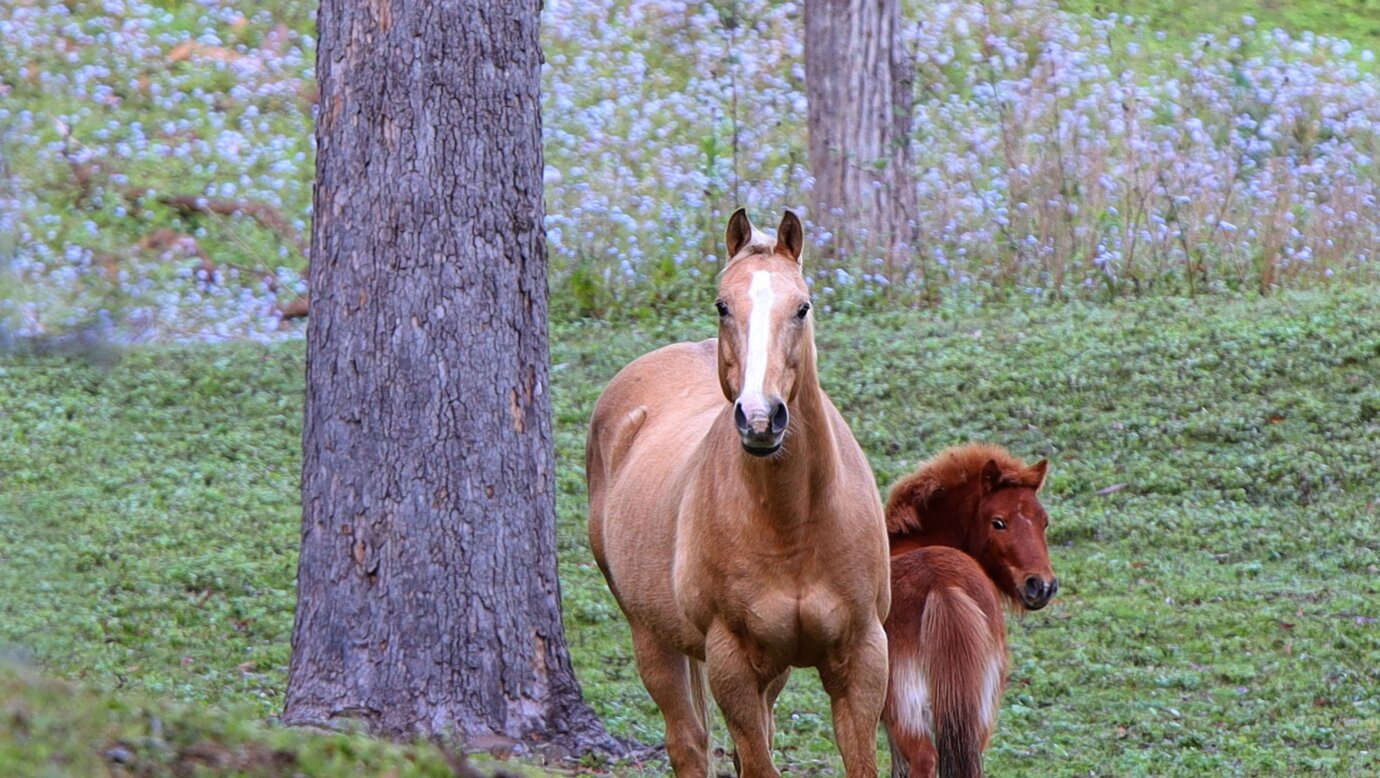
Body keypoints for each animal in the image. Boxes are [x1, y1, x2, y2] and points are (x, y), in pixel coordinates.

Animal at [585, 209, 888, 772]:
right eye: (722, 305)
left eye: (802, 307)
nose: (761, 418)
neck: (794, 524)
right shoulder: (731, 664)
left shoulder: (862, 658)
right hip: (652, 639)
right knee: (688, 743)